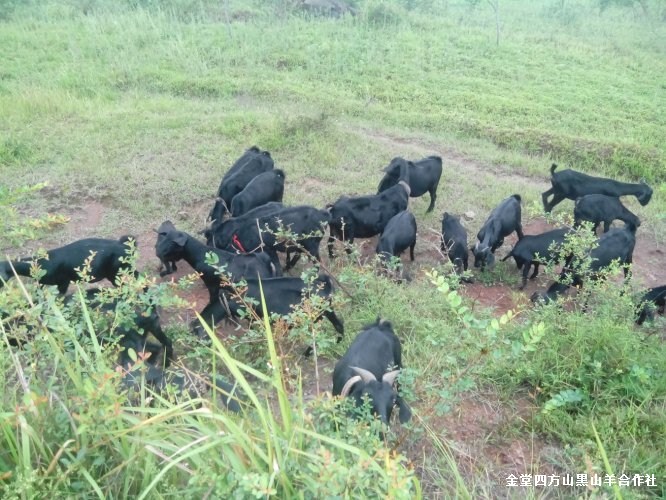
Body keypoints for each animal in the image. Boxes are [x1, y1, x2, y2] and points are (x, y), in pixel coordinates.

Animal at [188, 276, 340, 350]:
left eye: (196, 335)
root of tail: (325, 284)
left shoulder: (253, 316)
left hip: (317, 316)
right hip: (327, 311)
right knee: (339, 324)